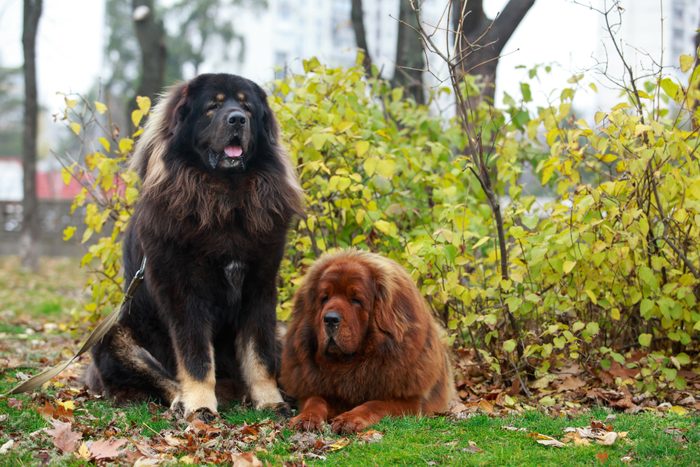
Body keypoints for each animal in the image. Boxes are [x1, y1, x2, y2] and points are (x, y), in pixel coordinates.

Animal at [86, 74, 304, 420]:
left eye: (247, 108)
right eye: (213, 106)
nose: (237, 119)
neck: (225, 200)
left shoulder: (259, 287)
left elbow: (260, 354)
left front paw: (270, 400)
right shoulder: (184, 292)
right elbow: (196, 358)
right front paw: (201, 404)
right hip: (112, 334)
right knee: (160, 376)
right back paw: (182, 400)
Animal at [278, 250, 454, 434]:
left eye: (355, 299)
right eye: (324, 298)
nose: (330, 319)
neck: (351, 364)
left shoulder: (409, 401)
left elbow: (374, 404)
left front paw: (349, 419)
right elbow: (315, 400)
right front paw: (306, 418)